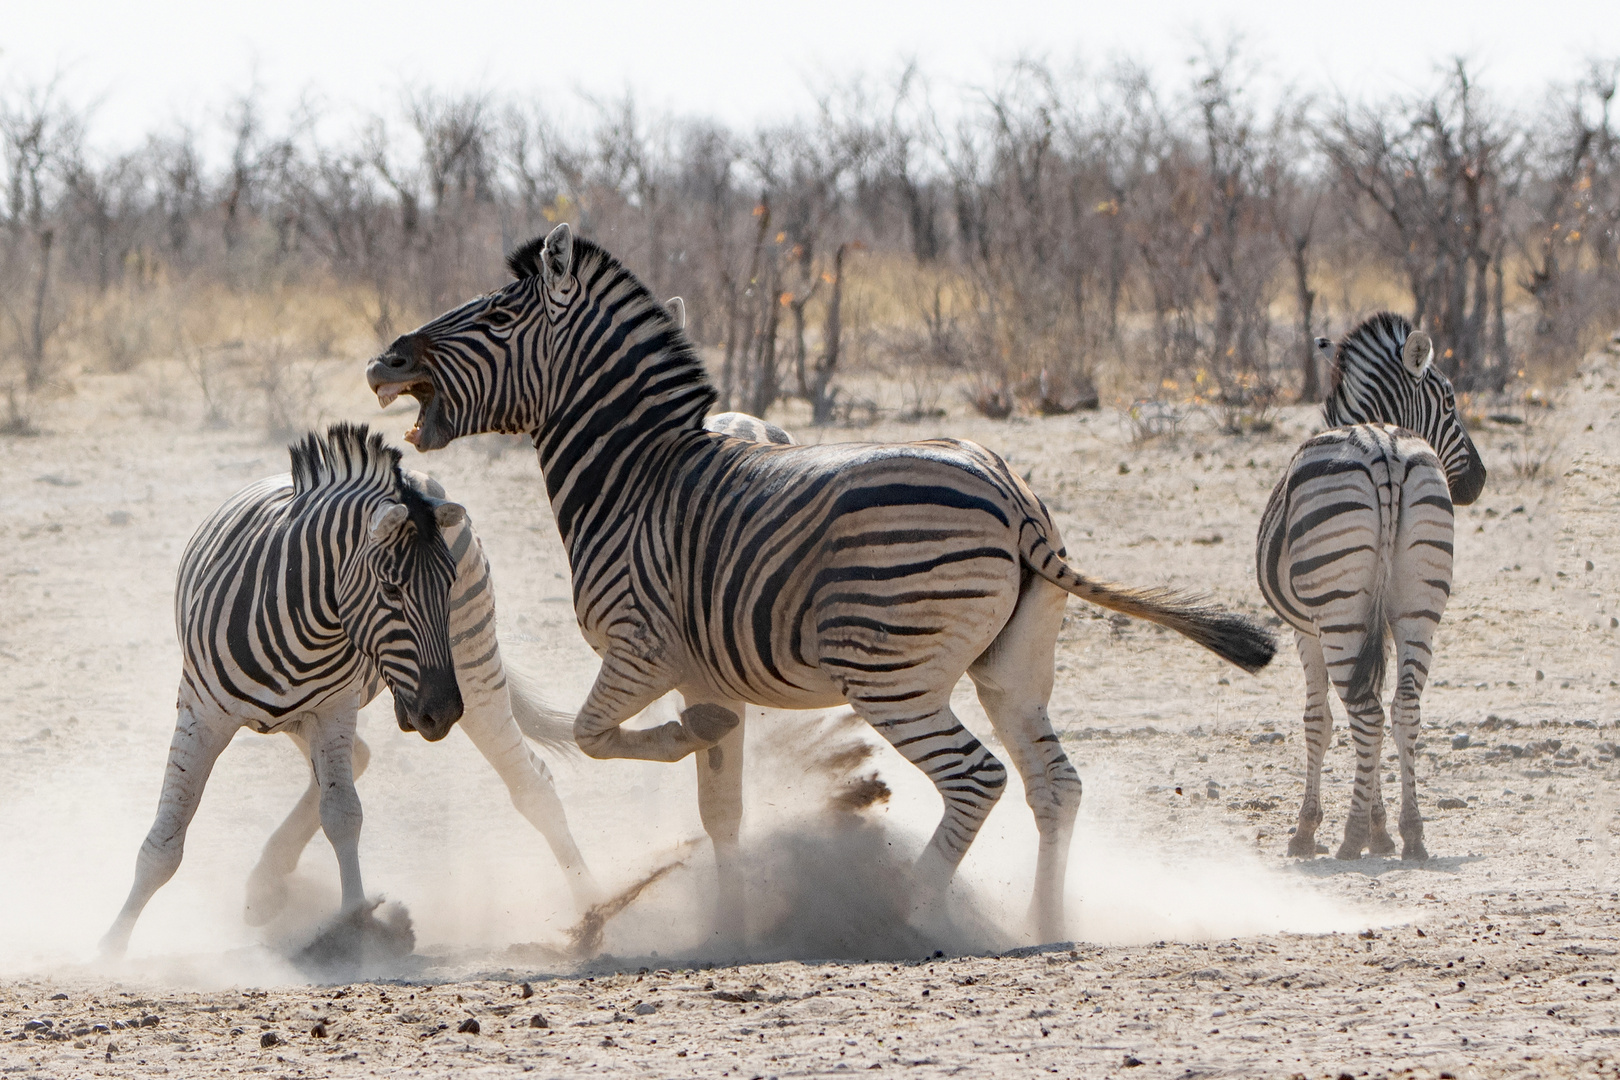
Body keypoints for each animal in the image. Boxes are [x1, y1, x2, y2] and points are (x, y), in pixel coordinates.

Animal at [364, 221, 1276, 945]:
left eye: (494, 316)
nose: (381, 362)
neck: (634, 475)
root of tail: (1013, 499)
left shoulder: (640, 648)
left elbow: (595, 735)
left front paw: (691, 749)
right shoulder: (698, 666)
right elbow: (719, 812)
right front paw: (728, 928)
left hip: (891, 676)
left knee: (977, 778)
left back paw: (913, 915)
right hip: (1012, 668)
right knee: (1055, 784)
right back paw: (1044, 925)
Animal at [1257, 310, 1483, 861]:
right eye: (1451, 403)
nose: (1480, 481)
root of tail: (1383, 448)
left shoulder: (1305, 630)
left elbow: (1318, 722)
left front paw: (1309, 830)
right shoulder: (1380, 622)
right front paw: (1384, 830)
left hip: (1339, 614)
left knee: (1367, 712)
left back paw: (1352, 835)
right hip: (1419, 610)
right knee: (1403, 711)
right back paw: (1412, 833)